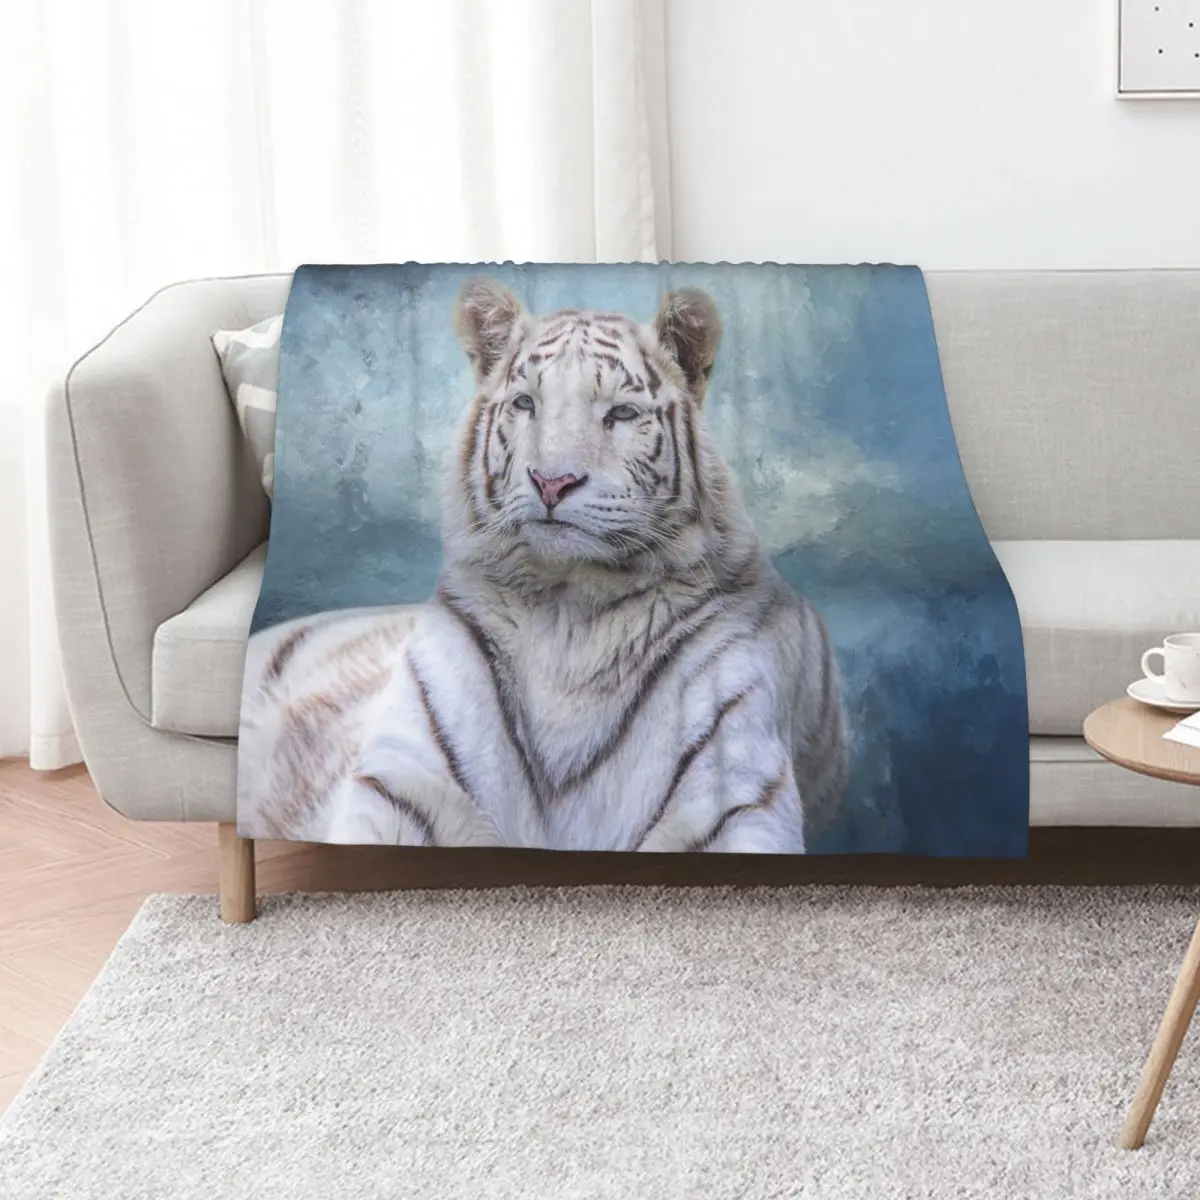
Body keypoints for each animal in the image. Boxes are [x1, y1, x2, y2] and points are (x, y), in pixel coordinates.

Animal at [237, 278, 849, 852]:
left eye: (621, 413)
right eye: (526, 403)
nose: (552, 481)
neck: (570, 614)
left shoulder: (731, 797)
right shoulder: (406, 783)